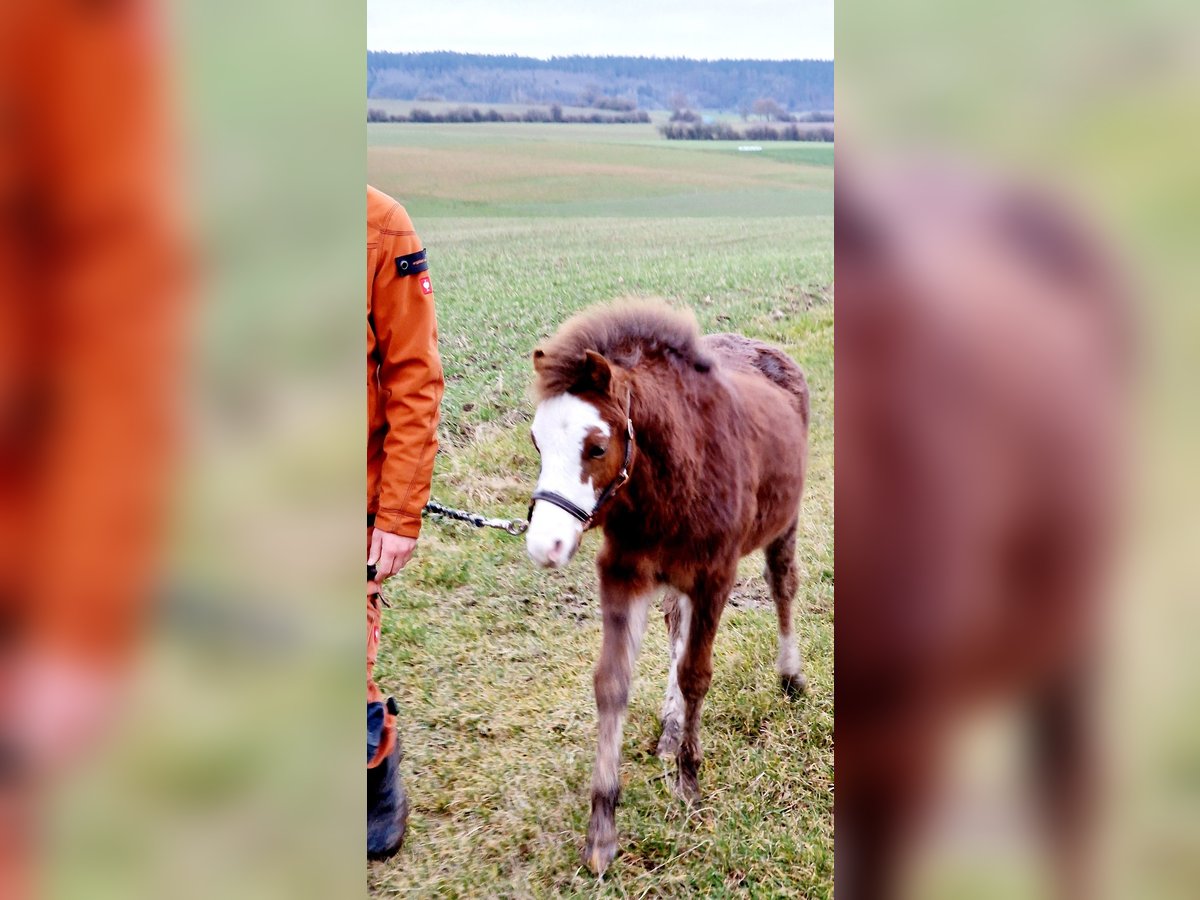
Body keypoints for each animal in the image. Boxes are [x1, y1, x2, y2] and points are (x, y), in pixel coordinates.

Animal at [523, 301, 806, 873]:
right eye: (536, 441)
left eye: (597, 446)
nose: (546, 545)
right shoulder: (624, 574)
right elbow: (612, 683)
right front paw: (602, 831)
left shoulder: (715, 576)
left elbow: (697, 674)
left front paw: (689, 785)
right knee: (677, 623)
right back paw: (672, 729)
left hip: (783, 523)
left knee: (783, 584)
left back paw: (790, 678)